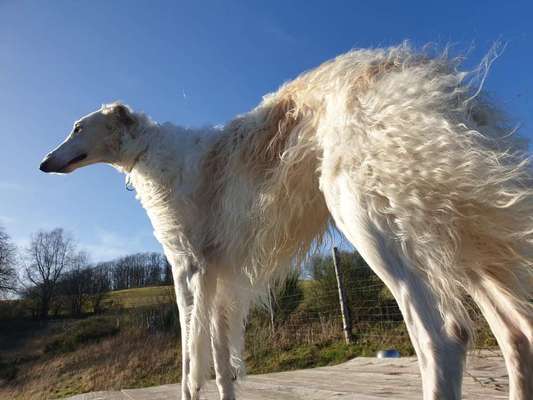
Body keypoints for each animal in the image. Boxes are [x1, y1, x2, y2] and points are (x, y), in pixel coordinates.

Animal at [39, 44, 528, 400]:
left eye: (77, 128)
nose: (43, 163)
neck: (153, 154)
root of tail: (415, 69)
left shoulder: (187, 269)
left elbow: (190, 365)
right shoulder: (220, 276)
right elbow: (222, 365)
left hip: (367, 218)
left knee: (445, 336)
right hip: (452, 228)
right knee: (517, 332)